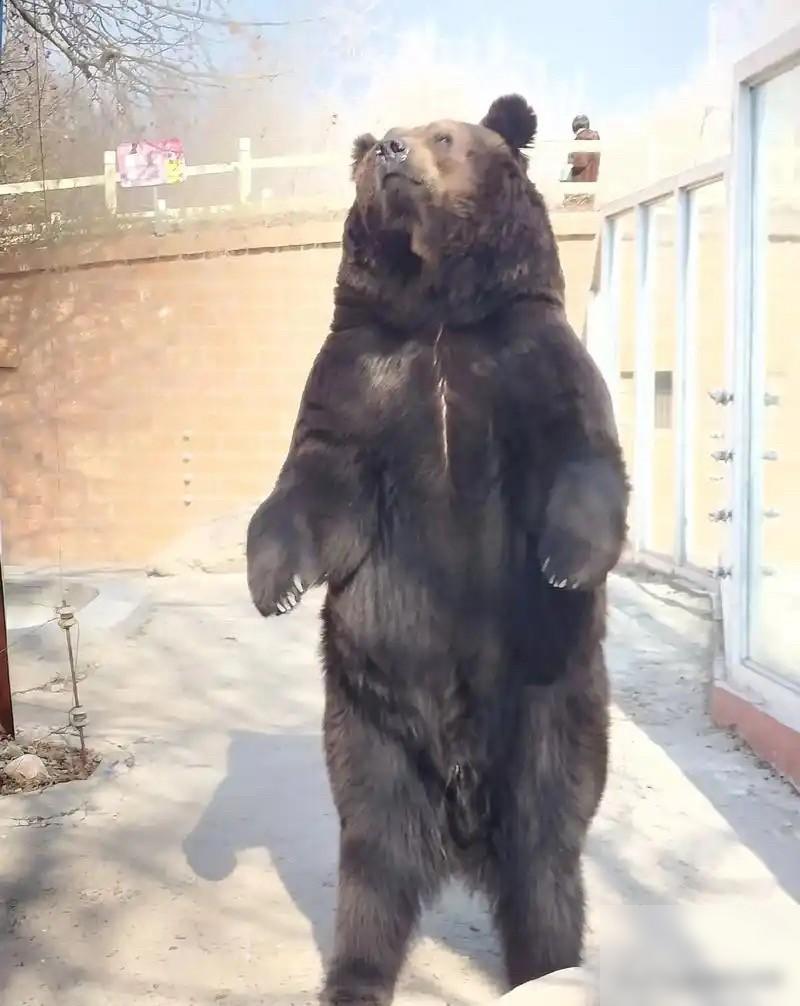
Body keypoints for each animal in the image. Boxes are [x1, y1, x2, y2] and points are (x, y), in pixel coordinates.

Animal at [246, 94, 628, 1005]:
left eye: (444, 135)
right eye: (375, 144)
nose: (388, 149)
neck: (438, 308)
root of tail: (458, 819)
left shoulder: (522, 356)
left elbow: (580, 447)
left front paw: (565, 560)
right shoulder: (365, 376)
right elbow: (318, 476)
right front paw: (274, 583)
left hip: (545, 710)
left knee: (546, 852)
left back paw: (550, 967)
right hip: (368, 722)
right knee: (373, 861)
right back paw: (354, 976)